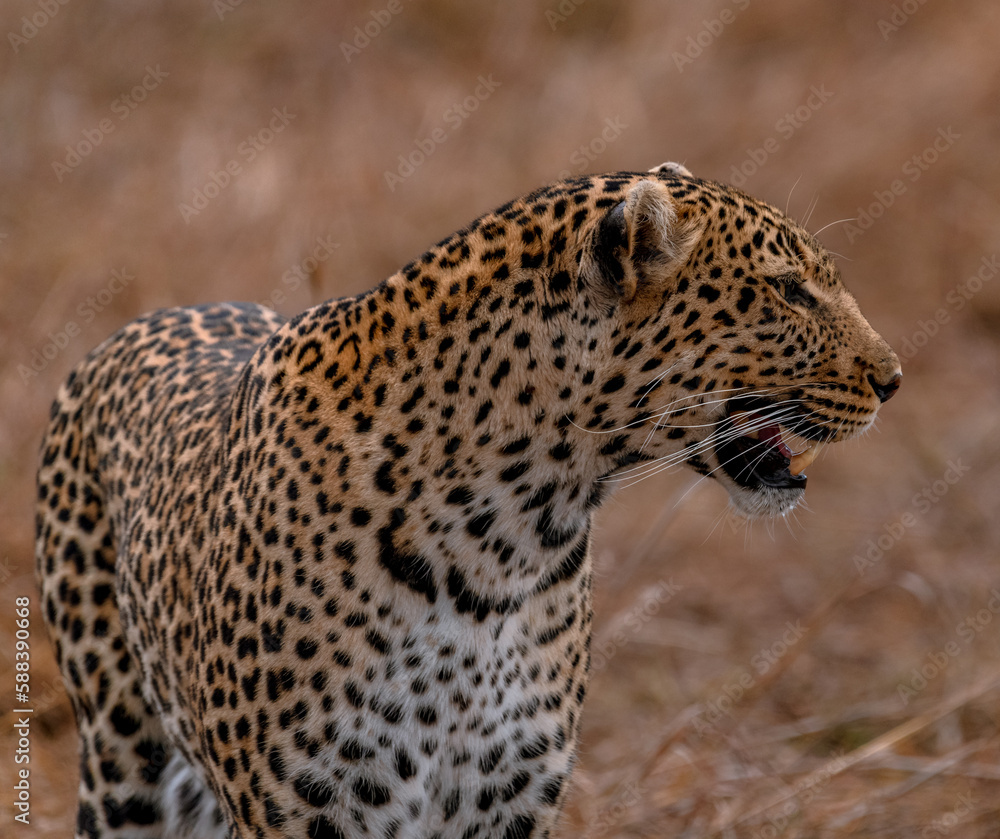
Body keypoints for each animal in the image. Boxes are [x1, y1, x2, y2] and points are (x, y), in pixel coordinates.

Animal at [36, 162, 901, 839]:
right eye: (788, 291)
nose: (893, 378)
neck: (507, 539)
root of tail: (140, 323)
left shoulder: (510, 798)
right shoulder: (307, 805)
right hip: (122, 758)